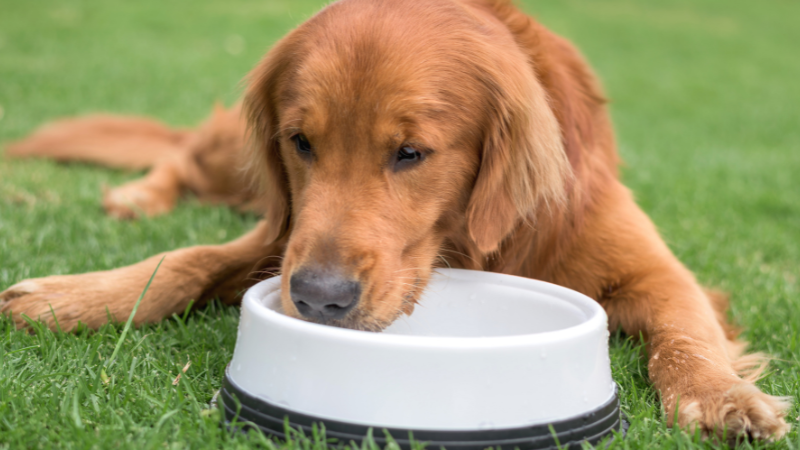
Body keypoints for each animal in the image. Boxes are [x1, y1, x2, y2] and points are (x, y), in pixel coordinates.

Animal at [0, 0, 792, 442]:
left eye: (411, 153)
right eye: (301, 142)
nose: (319, 298)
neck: (467, 241)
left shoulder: (653, 266)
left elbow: (684, 332)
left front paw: (722, 397)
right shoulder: (282, 235)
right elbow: (185, 260)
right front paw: (73, 296)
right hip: (236, 161)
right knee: (183, 152)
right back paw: (137, 195)